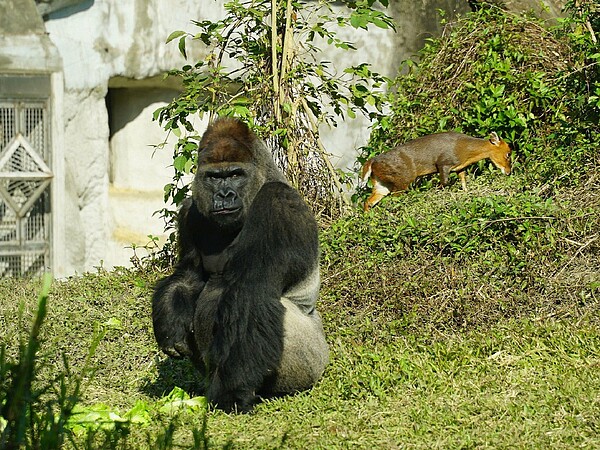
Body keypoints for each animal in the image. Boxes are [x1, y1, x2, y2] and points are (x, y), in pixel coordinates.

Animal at [150, 118, 328, 414]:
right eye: (214, 177)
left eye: (235, 174)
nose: (224, 194)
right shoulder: (189, 211)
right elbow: (188, 277)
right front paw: (170, 324)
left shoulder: (277, 204)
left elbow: (252, 293)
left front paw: (232, 394)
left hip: (313, 362)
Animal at [360, 131, 510, 212]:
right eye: (508, 154)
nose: (508, 172)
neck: (465, 151)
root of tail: (372, 161)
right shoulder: (443, 163)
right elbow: (444, 183)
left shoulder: (459, 167)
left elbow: (463, 180)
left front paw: (466, 193)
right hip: (402, 179)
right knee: (393, 198)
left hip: (381, 183)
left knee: (369, 201)